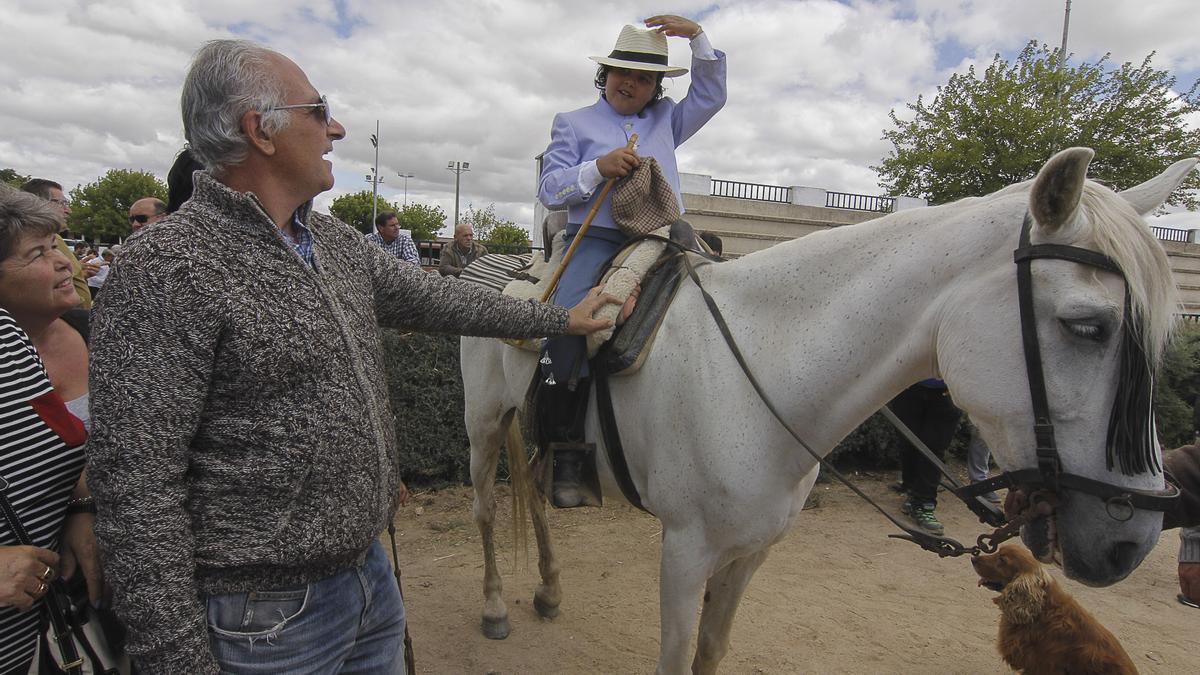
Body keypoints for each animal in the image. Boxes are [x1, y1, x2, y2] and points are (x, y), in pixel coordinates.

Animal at [460, 149, 1200, 667]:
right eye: (1087, 326)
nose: (1133, 539)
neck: (759, 368)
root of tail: (498, 268)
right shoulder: (686, 550)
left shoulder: (750, 552)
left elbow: (710, 650)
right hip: (482, 427)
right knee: (491, 509)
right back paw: (494, 606)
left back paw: (549, 590)